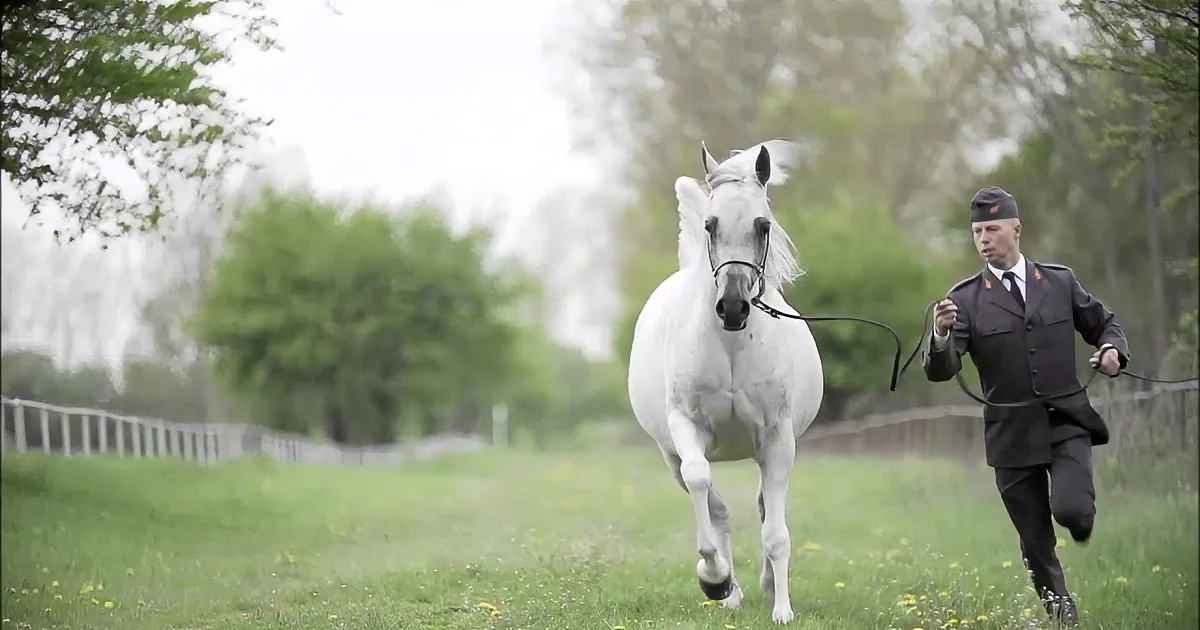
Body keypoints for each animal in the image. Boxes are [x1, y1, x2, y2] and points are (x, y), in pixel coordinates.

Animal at [626, 139, 823, 624]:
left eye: (762, 225)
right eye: (710, 225)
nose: (732, 307)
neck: (732, 346)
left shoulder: (778, 439)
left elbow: (776, 532)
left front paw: (782, 609)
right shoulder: (686, 431)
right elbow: (703, 488)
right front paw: (713, 579)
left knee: (763, 508)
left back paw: (765, 585)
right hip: (670, 455)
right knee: (717, 509)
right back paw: (729, 590)